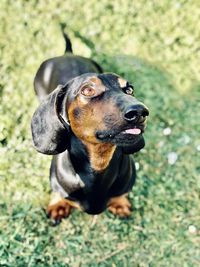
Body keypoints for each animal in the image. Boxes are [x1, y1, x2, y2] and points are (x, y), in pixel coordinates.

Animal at [30, 33, 148, 224]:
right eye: (87, 90)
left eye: (129, 89)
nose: (140, 112)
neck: (97, 167)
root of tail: (68, 54)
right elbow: (58, 192)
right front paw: (58, 204)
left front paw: (120, 203)